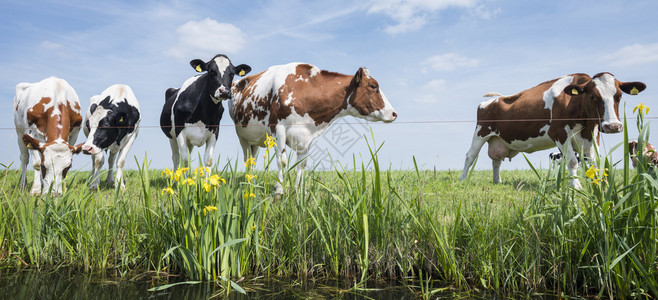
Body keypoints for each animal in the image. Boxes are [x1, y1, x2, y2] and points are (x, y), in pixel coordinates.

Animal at [228, 62, 398, 195]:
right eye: (373, 86)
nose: (394, 113)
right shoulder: (278, 129)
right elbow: (282, 161)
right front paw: (279, 192)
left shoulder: (307, 135)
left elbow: (302, 164)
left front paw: (298, 193)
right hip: (242, 137)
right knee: (248, 161)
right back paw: (248, 185)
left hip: (255, 141)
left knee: (252, 160)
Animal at [458, 72, 644, 188]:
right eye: (592, 96)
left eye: (619, 95)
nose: (613, 126)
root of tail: (495, 99)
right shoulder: (559, 134)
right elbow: (572, 161)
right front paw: (575, 185)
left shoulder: (593, 134)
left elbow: (594, 162)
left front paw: (598, 184)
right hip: (480, 132)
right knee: (470, 156)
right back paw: (462, 178)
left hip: (499, 140)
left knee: (496, 161)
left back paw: (497, 181)